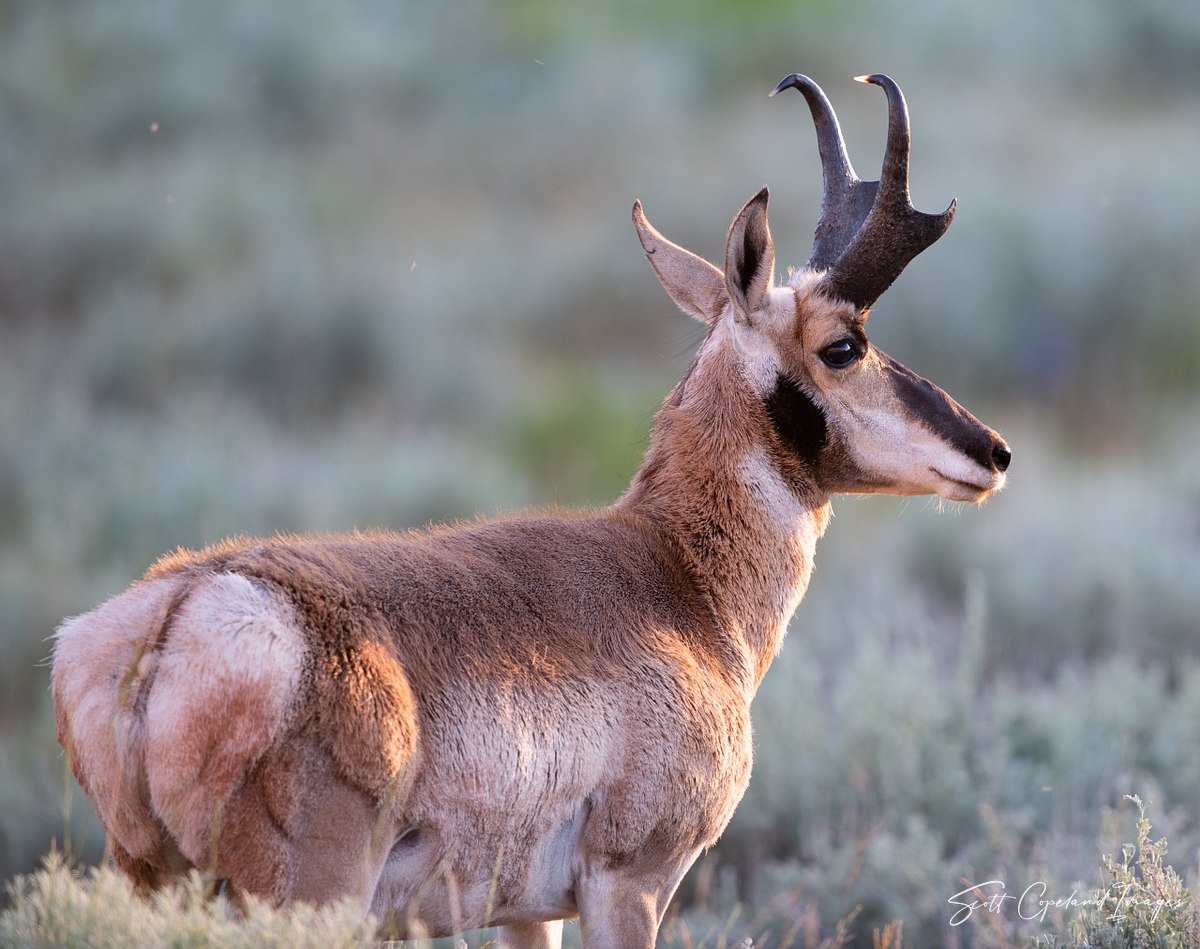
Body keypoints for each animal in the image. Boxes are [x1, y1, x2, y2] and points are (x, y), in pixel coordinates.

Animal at [52, 73, 1010, 948]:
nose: (992, 452)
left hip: (150, 882)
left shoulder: (524, 915)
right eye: (844, 346)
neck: (673, 578)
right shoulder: (631, 884)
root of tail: (179, 611)